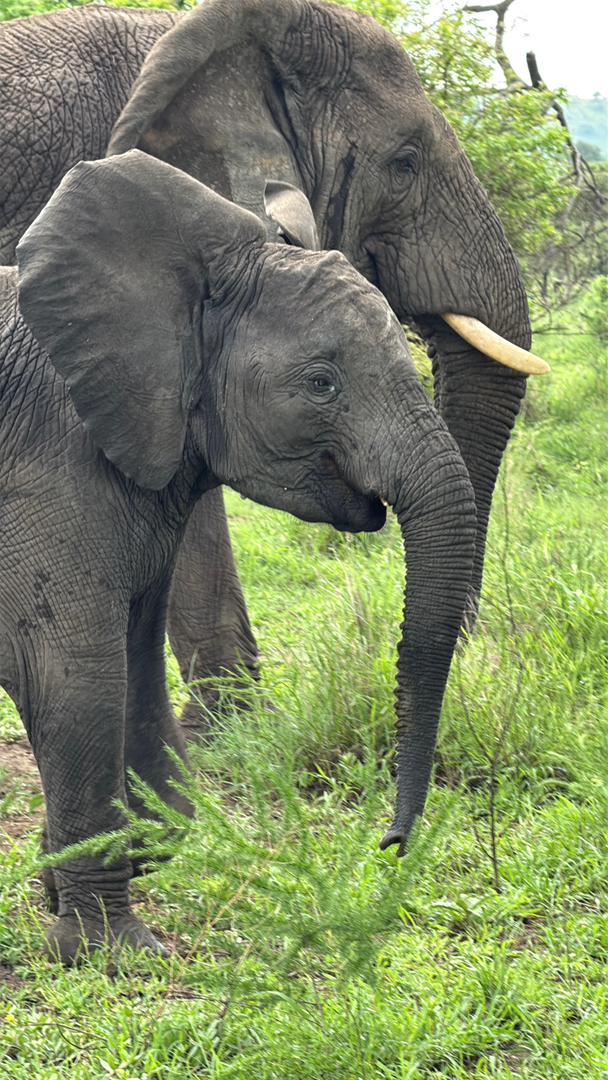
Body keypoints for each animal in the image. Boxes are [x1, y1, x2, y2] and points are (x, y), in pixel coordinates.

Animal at [1, 149, 475, 962]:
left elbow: (134, 662)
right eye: (321, 383)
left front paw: (93, 867)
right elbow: (75, 676)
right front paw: (108, 952)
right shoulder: (48, 464)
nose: (390, 845)